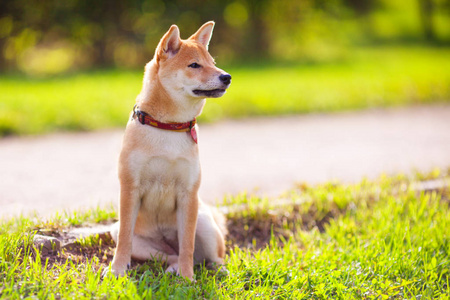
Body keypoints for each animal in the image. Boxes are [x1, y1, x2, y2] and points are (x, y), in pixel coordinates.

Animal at [104, 21, 232, 282]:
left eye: (212, 62)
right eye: (194, 65)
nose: (227, 77)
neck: (168, 127)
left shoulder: (188, 194)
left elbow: (187, 245)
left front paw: (187, 278)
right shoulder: (130, 188)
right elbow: (124, 241)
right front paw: (117, 270)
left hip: (204, 222)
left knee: (208, 257)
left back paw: (215, 270)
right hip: (124, 233)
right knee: (167, 255)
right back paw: (170, 268)